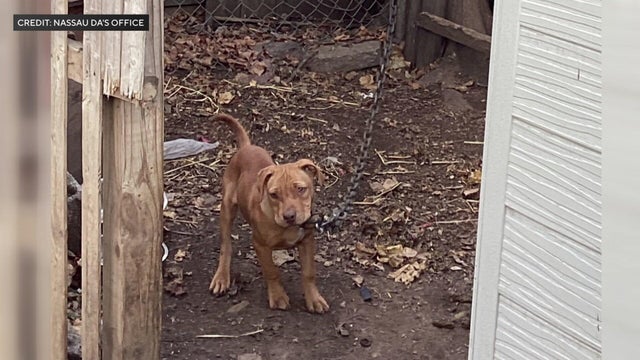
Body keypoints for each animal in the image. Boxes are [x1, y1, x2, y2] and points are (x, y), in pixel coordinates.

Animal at [210, 112, 330, 312]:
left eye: (301, 189)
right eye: (274, 194)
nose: (289, 217)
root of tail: (247, 147)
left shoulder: (307, 241)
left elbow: (308, 273)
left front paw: (314, 299)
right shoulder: (261, 245)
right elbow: (272, 272)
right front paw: (278, 296)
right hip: (227, 207)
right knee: (226, 245)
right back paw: (221, 277)